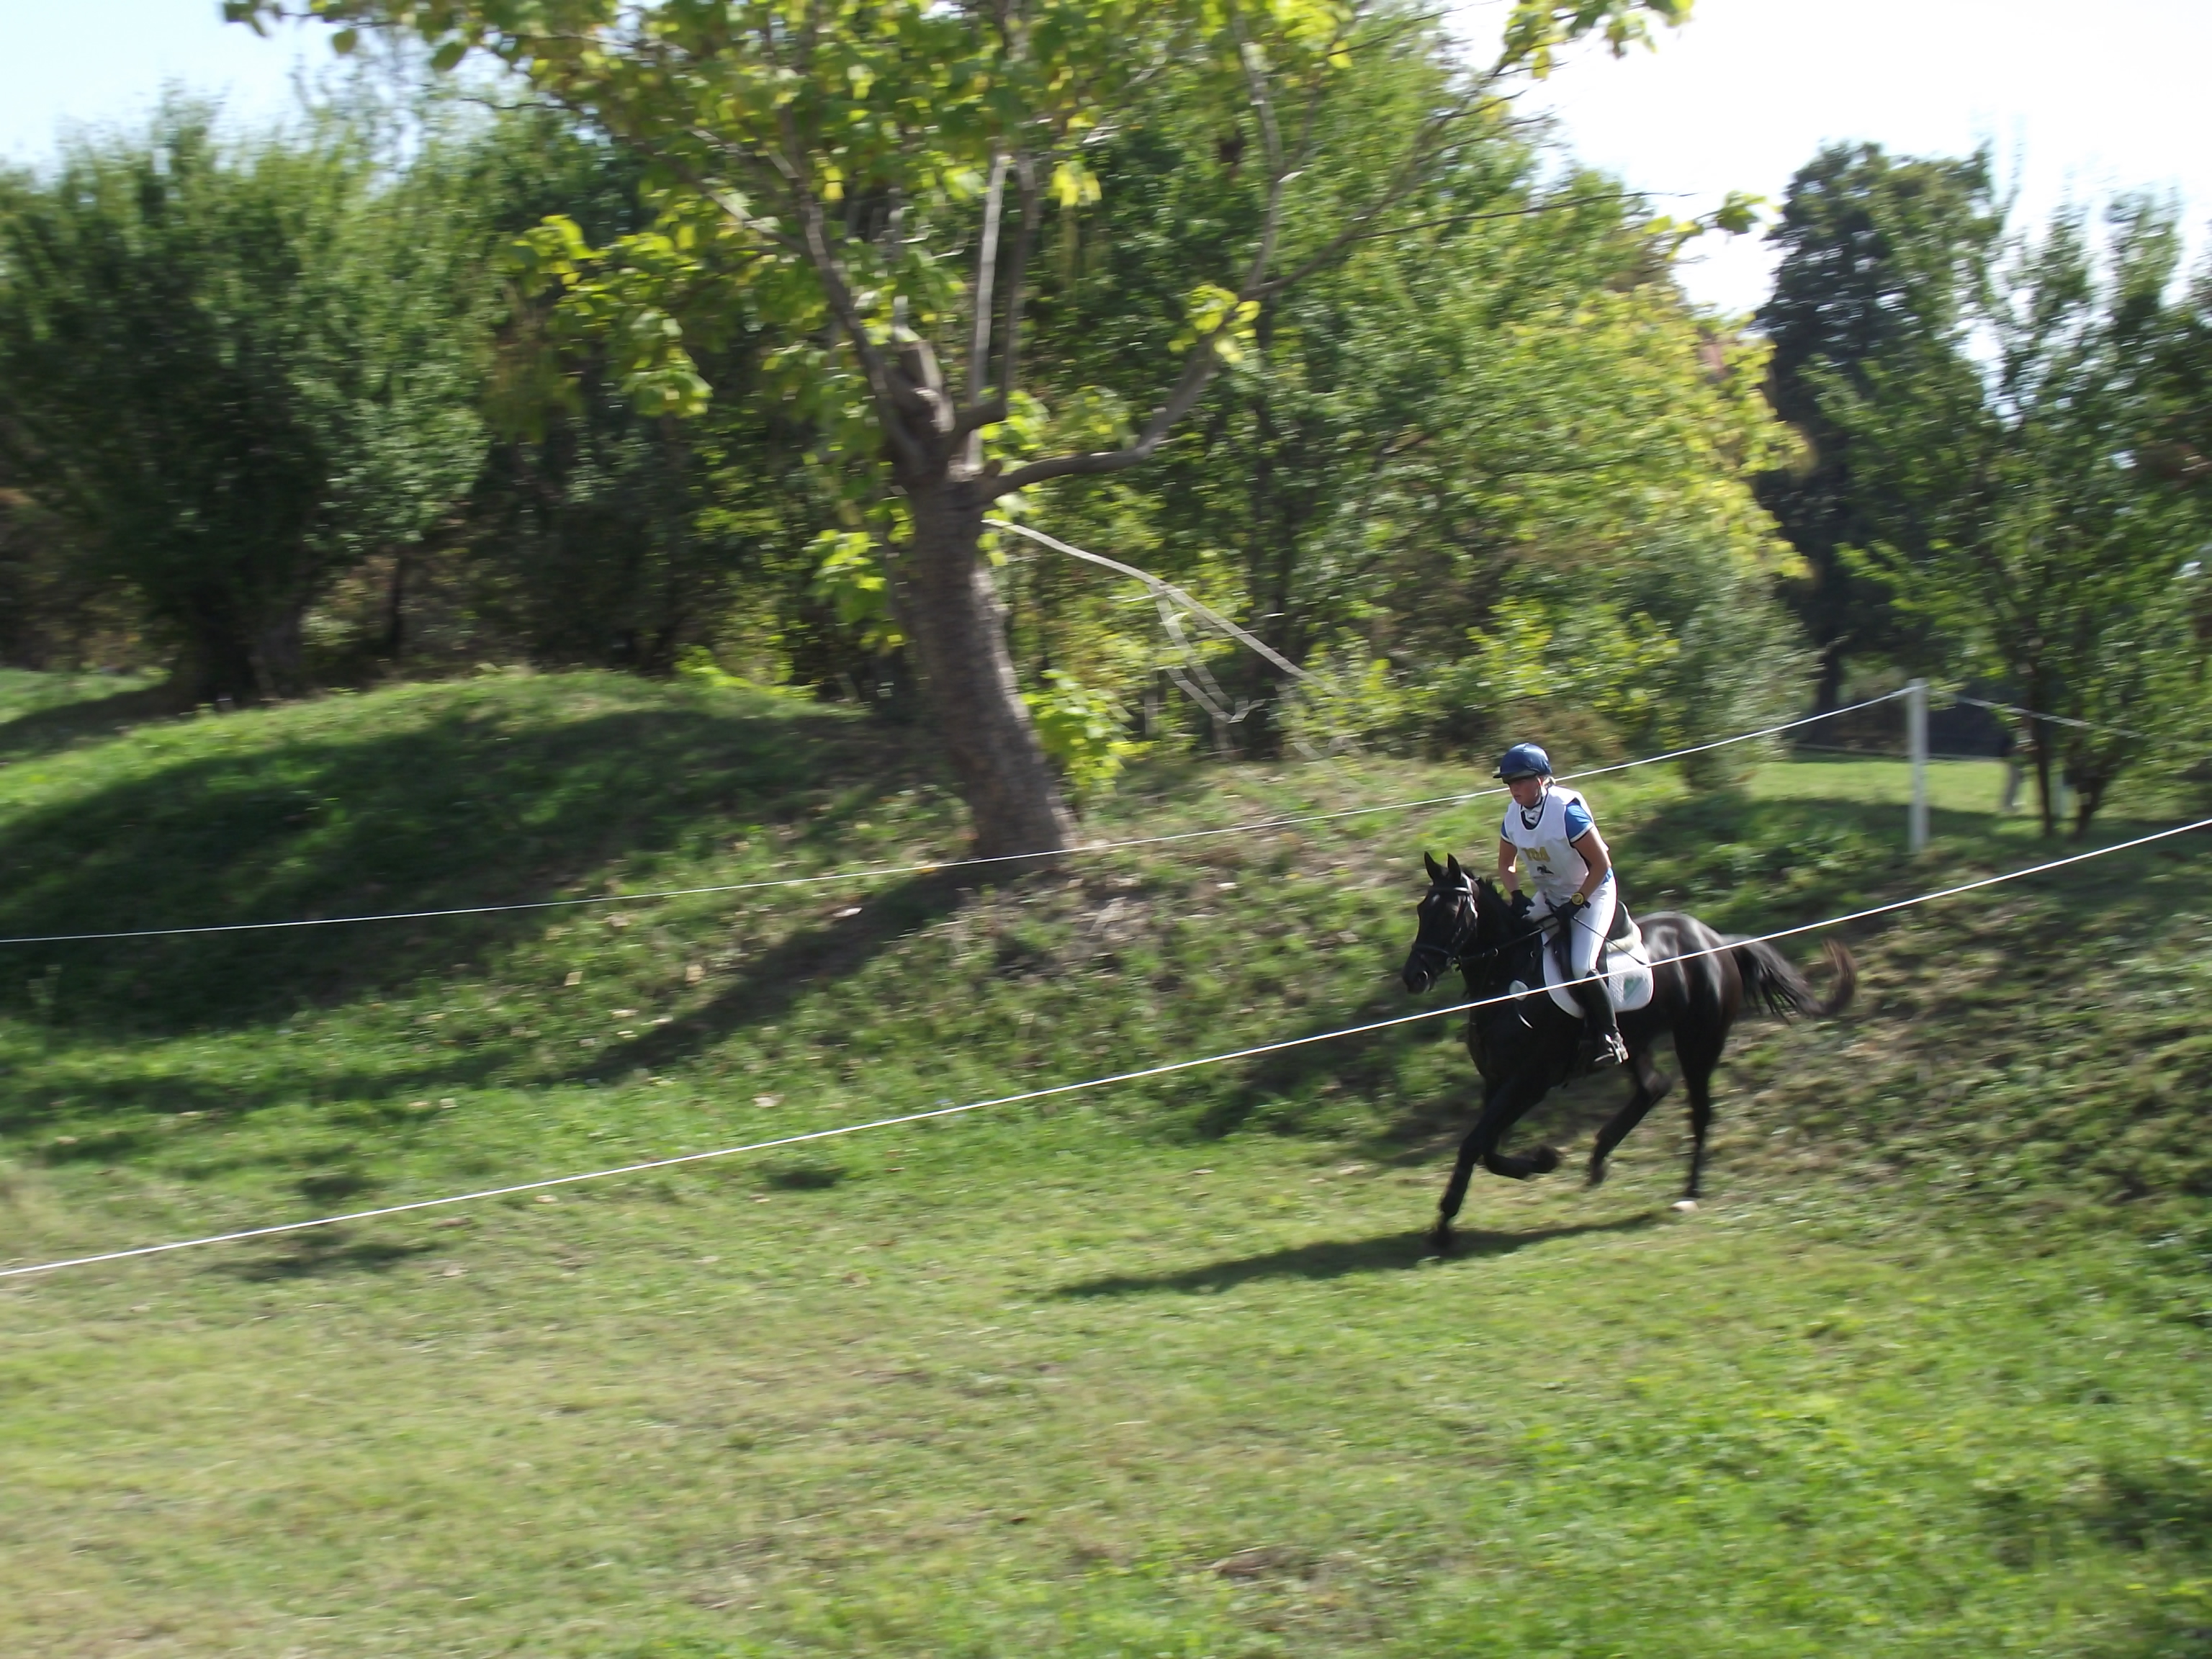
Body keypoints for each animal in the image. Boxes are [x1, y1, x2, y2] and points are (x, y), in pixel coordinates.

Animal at [1398, 863, 1849, 1256]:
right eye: (1421, 909)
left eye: (1450, 912)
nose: (1414, 977)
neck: (1511, 977)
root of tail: (1717, 941)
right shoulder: (1496, 1080)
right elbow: (1486, 1149)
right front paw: (1540, 1162)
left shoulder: (1530, 1082)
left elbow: (1474, 1144)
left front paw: (1444, 1226)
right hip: (1636, 1041)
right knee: (1653, 1088)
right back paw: (1599, 1159)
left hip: (1699, 1041)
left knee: (1699, 1111)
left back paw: (1689, 1193)